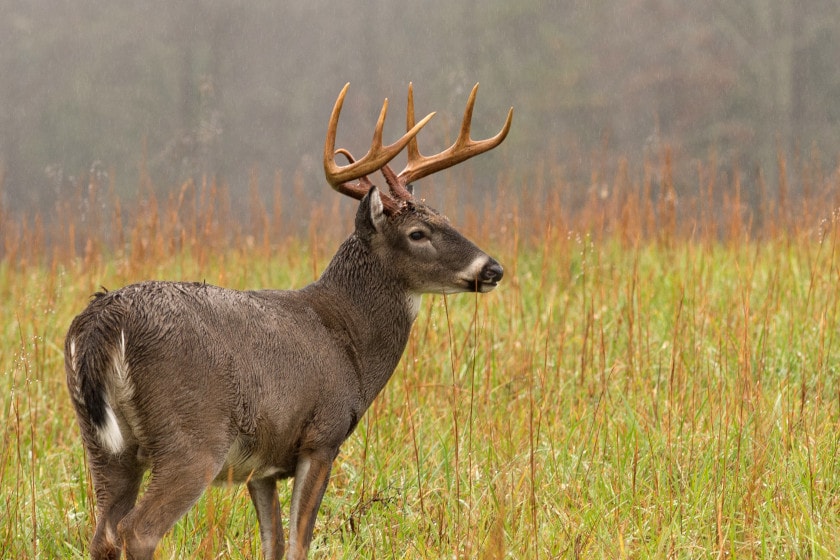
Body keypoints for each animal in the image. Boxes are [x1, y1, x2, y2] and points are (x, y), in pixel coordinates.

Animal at [65, 84, 512, 560]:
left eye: (444, 218)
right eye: (418, 233)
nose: (493, 269)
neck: (350, 343)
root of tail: (104, 320)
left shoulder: (260, 464)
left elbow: (273, 542)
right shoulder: (322, 436)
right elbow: (299, 543)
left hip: (103, 444)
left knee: (102, 535)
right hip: (190, 436)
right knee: (137, 530)